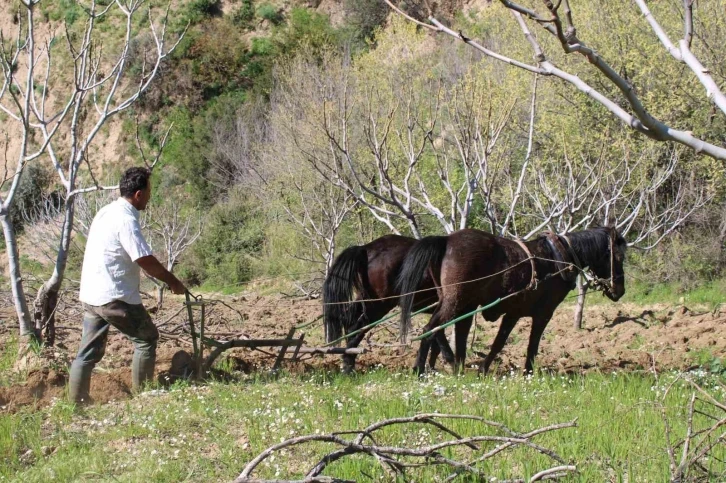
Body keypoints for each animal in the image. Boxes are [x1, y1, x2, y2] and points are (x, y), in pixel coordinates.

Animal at [324, 235, 456, 374]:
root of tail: (366, 248)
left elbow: (437, 334)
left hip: (366, 300)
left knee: (349, 323)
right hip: (378, 305)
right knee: (356, 328)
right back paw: (348, 366)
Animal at [396, 229, 628, 376]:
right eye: (618, 257)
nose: (620, 290)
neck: (559, 258)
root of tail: (446, 240)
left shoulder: (513, 313)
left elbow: (498, 343)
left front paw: (482, 370)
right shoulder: (543, 314)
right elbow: (531, 344)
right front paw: (527, 373)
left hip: (459, 303)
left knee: (447, 332)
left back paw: (453, 366)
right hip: (456, 301)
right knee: (431, 328)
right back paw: (425, 368)